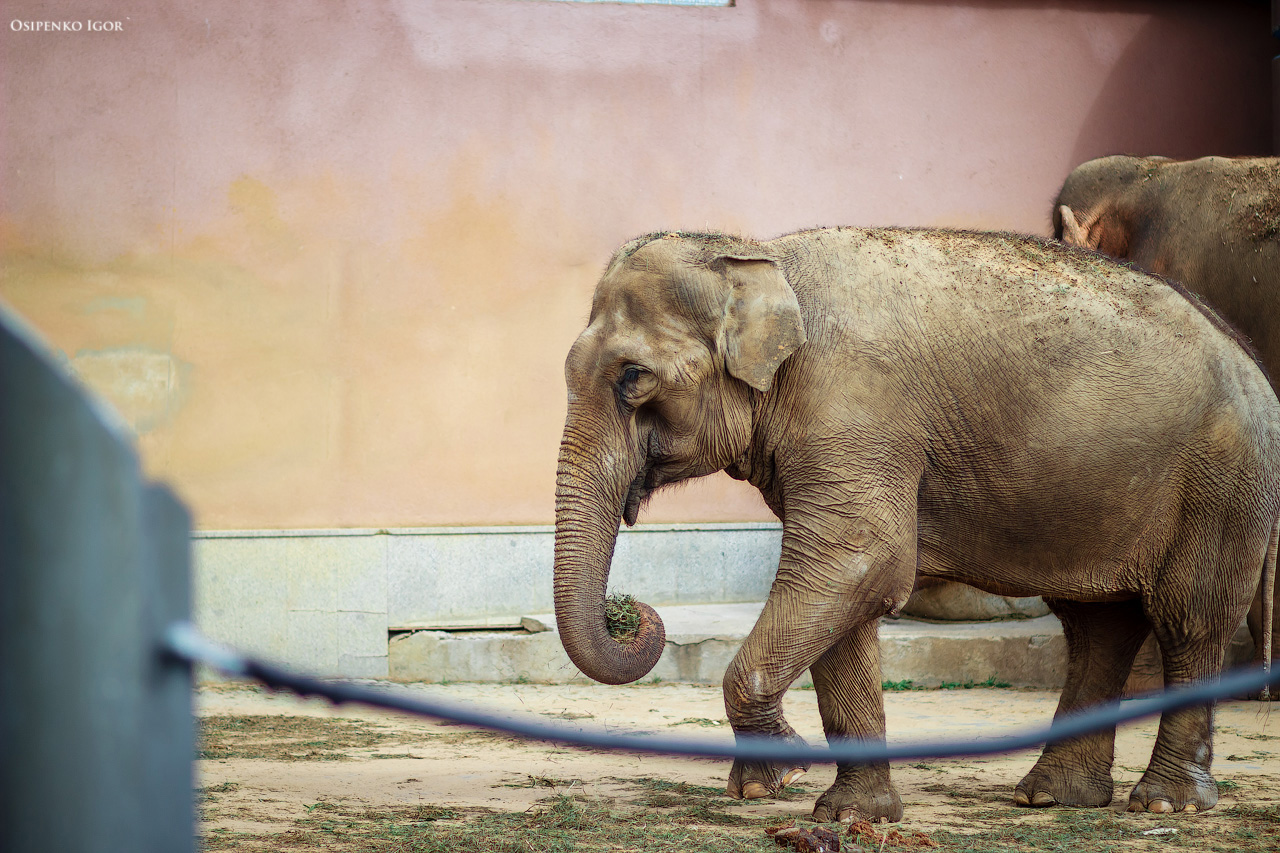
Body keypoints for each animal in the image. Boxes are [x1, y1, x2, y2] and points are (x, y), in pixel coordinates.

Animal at [553, 227, 1280, 822]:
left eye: (633, 377)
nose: (631, 612)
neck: (759, 258)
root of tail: (1255, 366)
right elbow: (847, 595)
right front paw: (852, 814)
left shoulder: (853, 407)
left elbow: (858, 563)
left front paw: (780, 776)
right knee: (1098, 627)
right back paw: (1052, 796)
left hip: (1222, 485)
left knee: (1190, 620)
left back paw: (1165, 803)